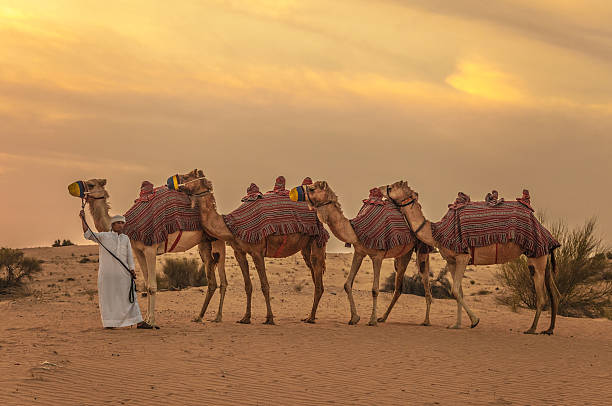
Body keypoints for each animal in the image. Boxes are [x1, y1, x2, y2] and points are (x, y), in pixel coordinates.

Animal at [70, 178, 227, 326]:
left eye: (91, 184)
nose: (71, 187)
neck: (127, 225)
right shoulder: (138, 251)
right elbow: (146, 284)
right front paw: (145, 319)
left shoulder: (150, 248)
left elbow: (152, 286)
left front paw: (151, 321)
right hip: (204, 242)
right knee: (212, 280)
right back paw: (199, 317)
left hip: (218, 240)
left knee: (223, 279)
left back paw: (218, 317)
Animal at [172, 170, 330, 326]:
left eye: (187, 176)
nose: (175, 182)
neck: (230, 227)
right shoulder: (239, 252)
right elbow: (247, 285)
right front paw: (245, 318)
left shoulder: (257, 251)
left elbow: (264, 285)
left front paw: (269, 318)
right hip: (306, 246)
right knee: (315, 277)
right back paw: (309, 316)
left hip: (317, 240)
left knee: (318, 281)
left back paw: (310, 318)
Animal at [290, 181, 432, 326]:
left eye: (312, 188)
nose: (293, 192)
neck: (355, 230)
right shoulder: (359, 252)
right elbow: (347, 284)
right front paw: (354, 318)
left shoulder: (378, 256)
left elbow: (375, 289)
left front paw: (372, 320)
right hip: (403, 254)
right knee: (398, 288)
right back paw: (383, 318)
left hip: (420, 248)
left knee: (425, 279)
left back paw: (426, 321)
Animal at [380, 182, 560, 334]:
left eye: (392, 186)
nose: (381, 188)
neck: (437, 233)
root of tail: (544, 231)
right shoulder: (451, 261)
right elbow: (458, 291)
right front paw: (456, 325)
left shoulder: (462, 257)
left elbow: (454, 290)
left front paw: (475, 321)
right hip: (542, 256)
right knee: (554, 293)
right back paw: (549, 330)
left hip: (536, 256)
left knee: (542, 296)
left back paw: (532, 329)